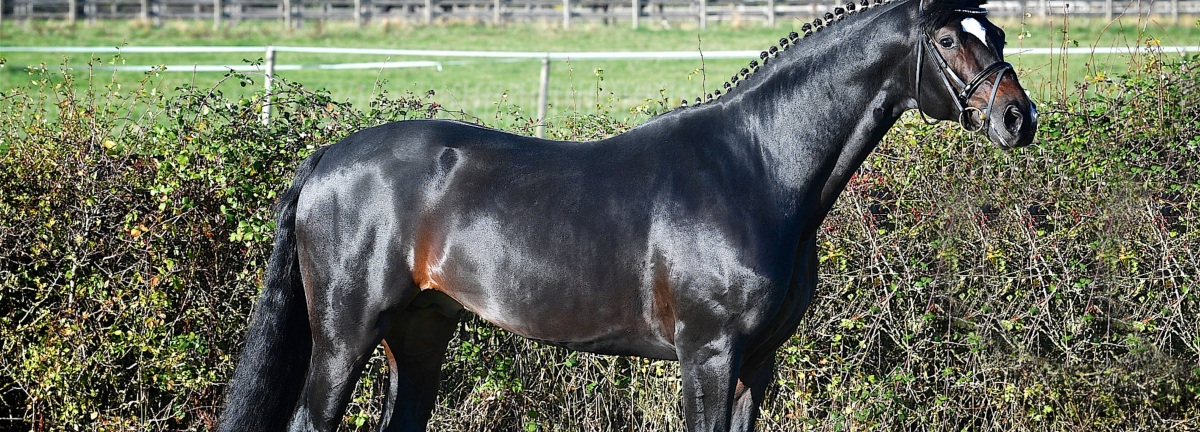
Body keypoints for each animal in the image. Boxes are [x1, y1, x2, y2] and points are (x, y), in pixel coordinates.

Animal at [217, 0, 1036, 430]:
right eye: (946, 37)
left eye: (995, 32)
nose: (1017, 118)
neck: (755, 167)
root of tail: (328, 158)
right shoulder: (709, 355)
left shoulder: (758, 363)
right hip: (345, 335)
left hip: (419, 332)